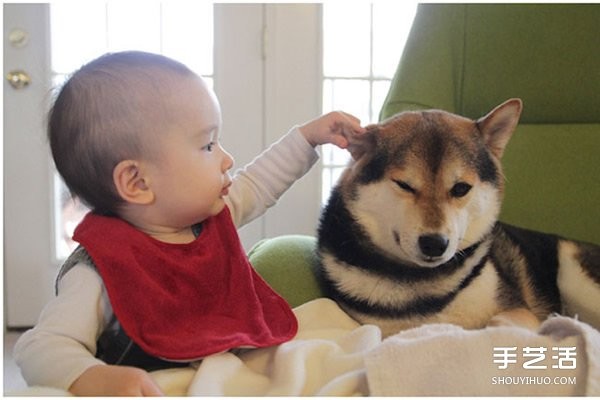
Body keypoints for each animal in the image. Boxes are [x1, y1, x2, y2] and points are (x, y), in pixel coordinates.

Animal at [316, 98, 596, 336]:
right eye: (404, 185)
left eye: (461, 188)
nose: (434, 243)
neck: (423, 283)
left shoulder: (519, 309)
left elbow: (498, 322)